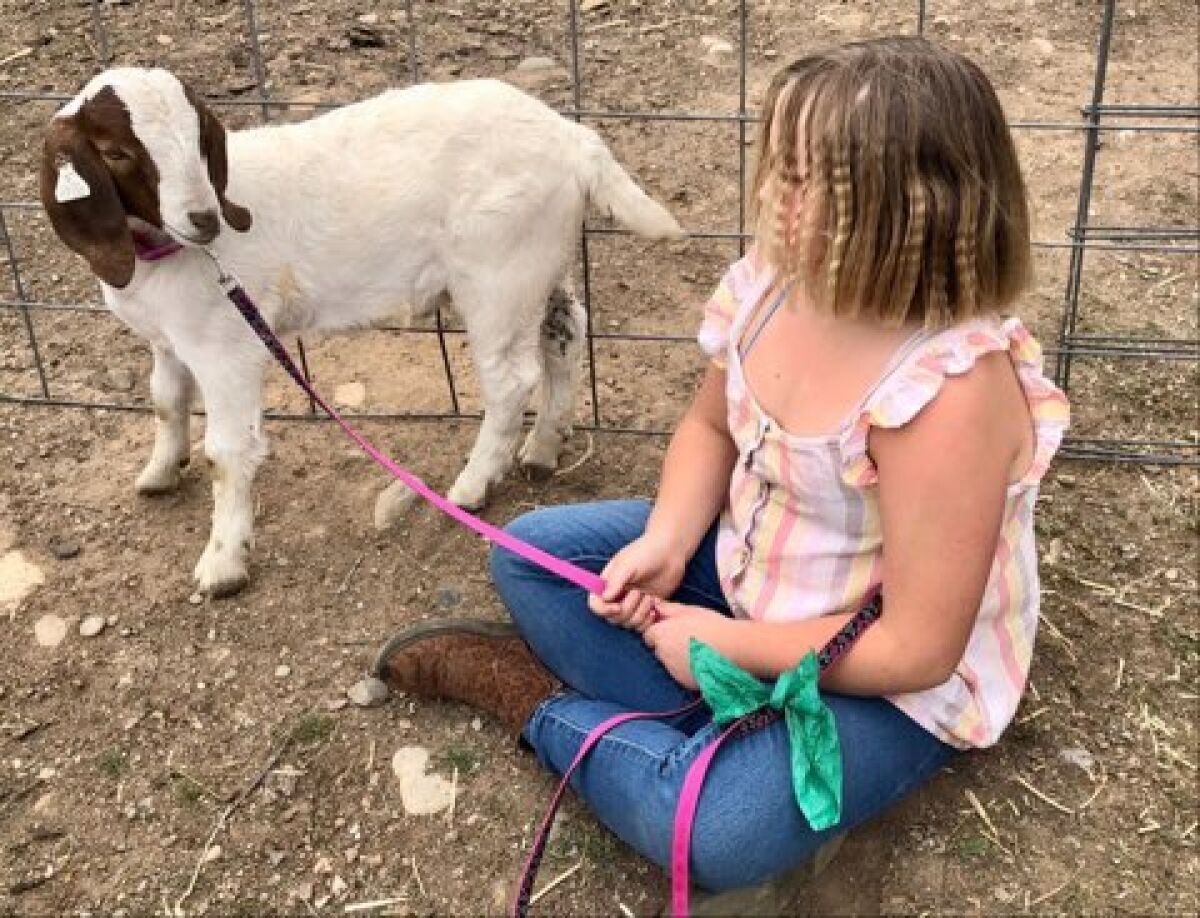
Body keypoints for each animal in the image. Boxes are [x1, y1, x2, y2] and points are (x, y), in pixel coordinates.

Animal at [39, 64, 686, 595]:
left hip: (499, 272)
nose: (204, 219)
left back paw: (473, 485)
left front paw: (223, 563)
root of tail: (573, 141)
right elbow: (166, 402)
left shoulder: (227, 349)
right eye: (114, 152)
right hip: (540, 264)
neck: (162, 254)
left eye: (199, 137)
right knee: (565, 334)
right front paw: (159, 472)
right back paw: (544, 449)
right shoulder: (169, 341)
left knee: (510, 381)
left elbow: (226, 452)